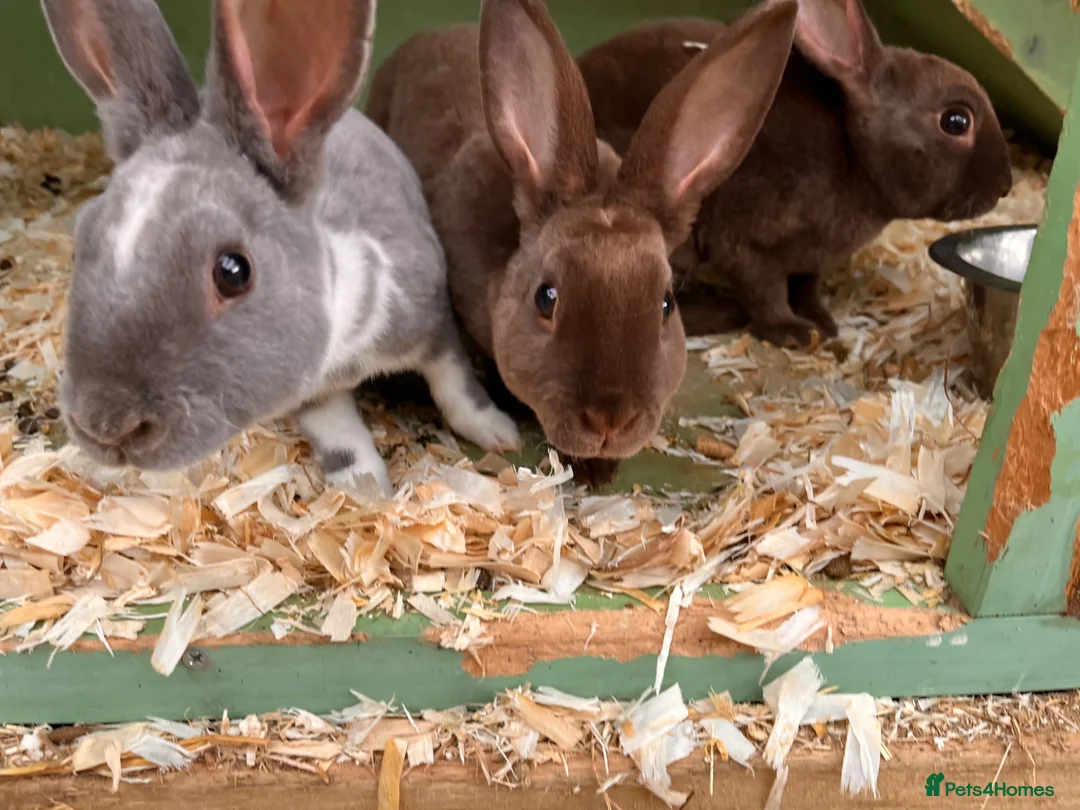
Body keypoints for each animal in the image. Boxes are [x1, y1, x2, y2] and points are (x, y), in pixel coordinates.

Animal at [42, 0, 522, 497]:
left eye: (233, 271)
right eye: (79, 245)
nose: (103, 425)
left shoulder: (432, 319)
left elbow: (456, 382)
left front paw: (499, 433)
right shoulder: (312, 393)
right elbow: (340, 435)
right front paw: (365, 490)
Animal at [577, 0, 1014, 348]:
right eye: (956, 121)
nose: (1006, 186)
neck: (854, 159)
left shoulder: (808, 262)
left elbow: (805, 287)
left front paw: (823, 321)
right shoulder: (747, 245)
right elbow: (766, 292)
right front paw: (796, 333)